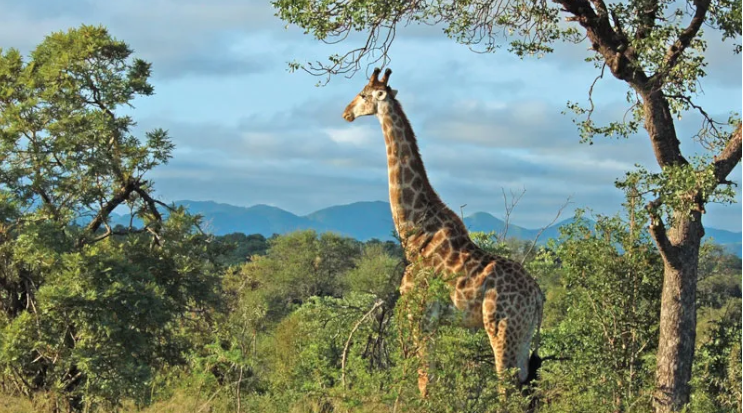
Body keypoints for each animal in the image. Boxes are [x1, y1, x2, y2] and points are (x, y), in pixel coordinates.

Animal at [342, 67, 548, 396]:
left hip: (501, 327)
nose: (345, 113)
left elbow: (423, 380)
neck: (415, 234)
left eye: (363, 94)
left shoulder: (420, 315)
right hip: (524, 332)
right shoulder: (434, 322)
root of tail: (539, 295)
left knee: (507, 388)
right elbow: (430, 377)